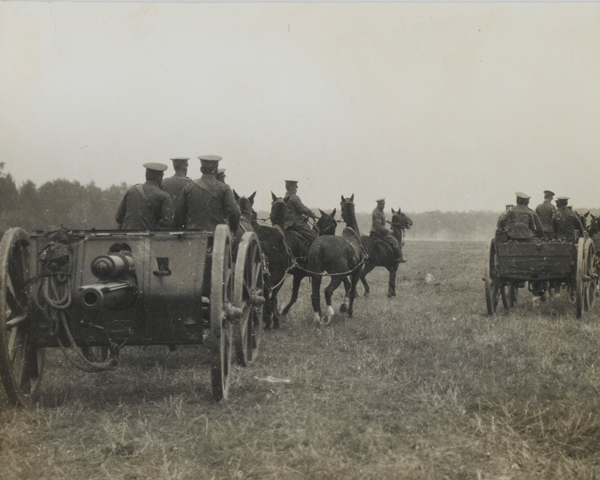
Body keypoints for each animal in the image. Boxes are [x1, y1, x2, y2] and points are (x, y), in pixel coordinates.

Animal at [308, 195, 364, 326]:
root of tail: (320, 244)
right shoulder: (356, 272)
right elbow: (352, 291)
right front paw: (349, 311)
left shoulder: (342, 273)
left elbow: (347, 286)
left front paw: (343, 306)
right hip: (336, 277)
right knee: (328, 291)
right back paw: (329, 315)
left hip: (316, 275)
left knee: (314, 295)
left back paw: (317, 318)